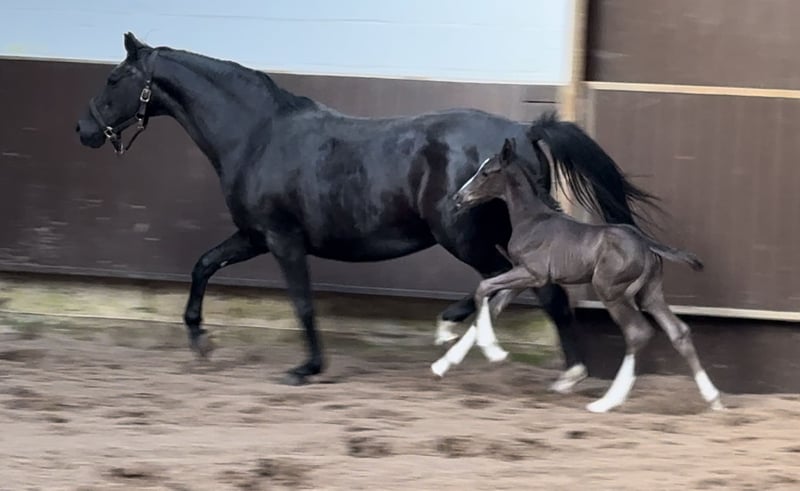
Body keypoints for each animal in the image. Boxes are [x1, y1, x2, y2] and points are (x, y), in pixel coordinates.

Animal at [75, 32, 661, 388]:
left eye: (113, 80)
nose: (82, 129)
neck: (258, 135)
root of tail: (522, 129)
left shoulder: (282, 238)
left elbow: (302, 303)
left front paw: (307, 368)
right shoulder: (253, 234)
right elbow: (202, 266)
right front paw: (199, 340)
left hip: (464, 236)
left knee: (526, 289)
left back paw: (560, 367)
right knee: (516, 289)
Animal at [431, 138, 723, 413]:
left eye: (486, 173)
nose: (458, 197)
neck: (532, 220)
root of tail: (645, 243)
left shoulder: (532, 274)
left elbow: (483, 287)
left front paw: (493, 351)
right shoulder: (522, 278)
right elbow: (492, 306)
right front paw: (443, 365)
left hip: (611, 292)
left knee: (637, 333)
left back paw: (607, 402)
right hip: (649, 294)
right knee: (679, 332)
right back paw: (714, 399)